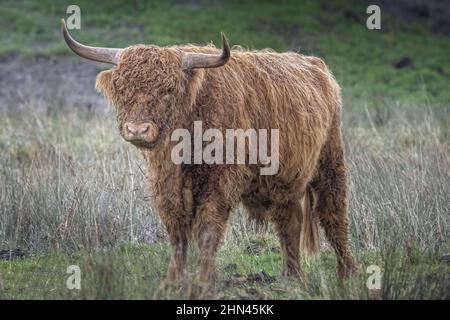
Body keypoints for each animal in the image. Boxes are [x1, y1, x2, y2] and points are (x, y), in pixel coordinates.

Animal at [60, 19, 356, 282]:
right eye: (121, 87)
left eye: (168, 90)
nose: (137, 130)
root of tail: (316, 66)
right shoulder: (167, 187)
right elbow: (177, 233)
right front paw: (174, 280)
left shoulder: (220, 184)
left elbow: (208, 230)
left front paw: (204, 280)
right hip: (286, 179)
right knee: (289, 221)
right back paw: (292, 277)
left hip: (330, 162)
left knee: (334, 216)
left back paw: (346, 274)